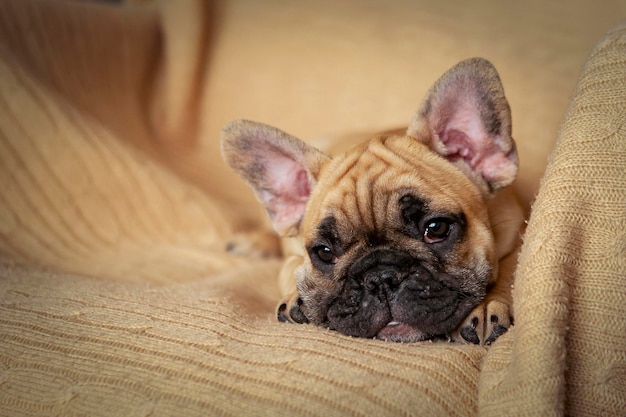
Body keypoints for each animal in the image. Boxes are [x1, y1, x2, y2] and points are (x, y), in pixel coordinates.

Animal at [222, 58, 524, 344]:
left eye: (436, 229)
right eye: (325, 252)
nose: (380, 278)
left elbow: (513, 267)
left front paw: (488, 303)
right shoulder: (295, 256)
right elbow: (291, 268)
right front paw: (297, 299)